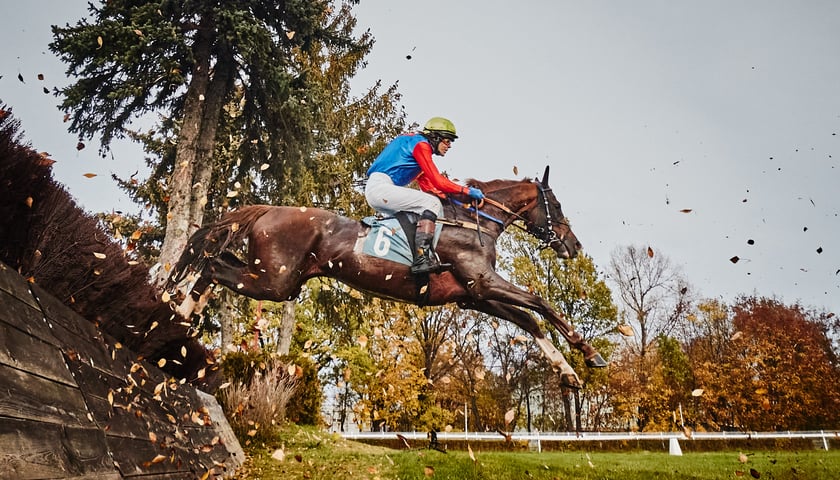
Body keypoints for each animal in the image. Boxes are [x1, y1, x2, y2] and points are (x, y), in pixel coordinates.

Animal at [167, 167, 608, 388]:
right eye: (556, 205)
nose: (574, 246)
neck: (474, 221)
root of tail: (270, 209)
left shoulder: (473, 295)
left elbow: (529, 319)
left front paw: (568, 373)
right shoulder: (482, 282)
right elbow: (541, 303)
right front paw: (588, 352)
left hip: (276, 279)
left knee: (214, 259)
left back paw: (182, 317)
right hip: (274, 282)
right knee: (211, 264)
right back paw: (181, 316)